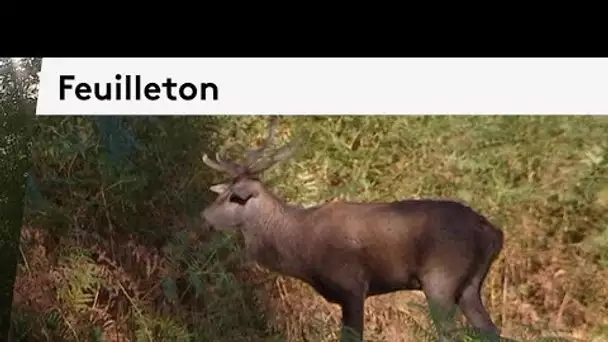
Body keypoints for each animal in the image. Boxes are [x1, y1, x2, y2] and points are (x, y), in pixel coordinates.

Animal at [200, 116, 504, 340]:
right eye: (222, 192)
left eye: (233, 197)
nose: (204, 216)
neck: (301, 250)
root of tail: (493, 232)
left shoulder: (352, 285)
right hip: (469, 284)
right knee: (491, 331)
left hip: (441, 277)